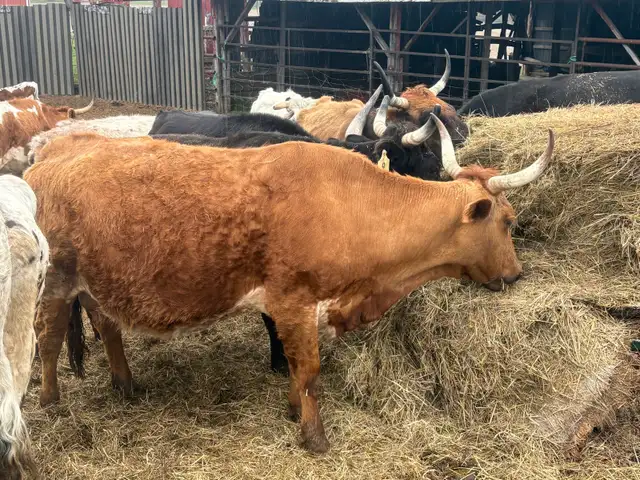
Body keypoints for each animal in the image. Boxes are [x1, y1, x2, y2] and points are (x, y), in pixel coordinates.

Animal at [26, 114, 554, 455]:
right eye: (508, 221)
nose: (515, 274)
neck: (353, 204)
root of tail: (45, 158)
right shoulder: (294, 302)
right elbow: (310, 372)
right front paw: (315, 438)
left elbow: (297, 373)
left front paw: (291, 411)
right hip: (55, 282)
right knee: (47, 340)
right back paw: (50, 401)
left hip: (97, 282)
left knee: (107, 326)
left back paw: (125, 384)